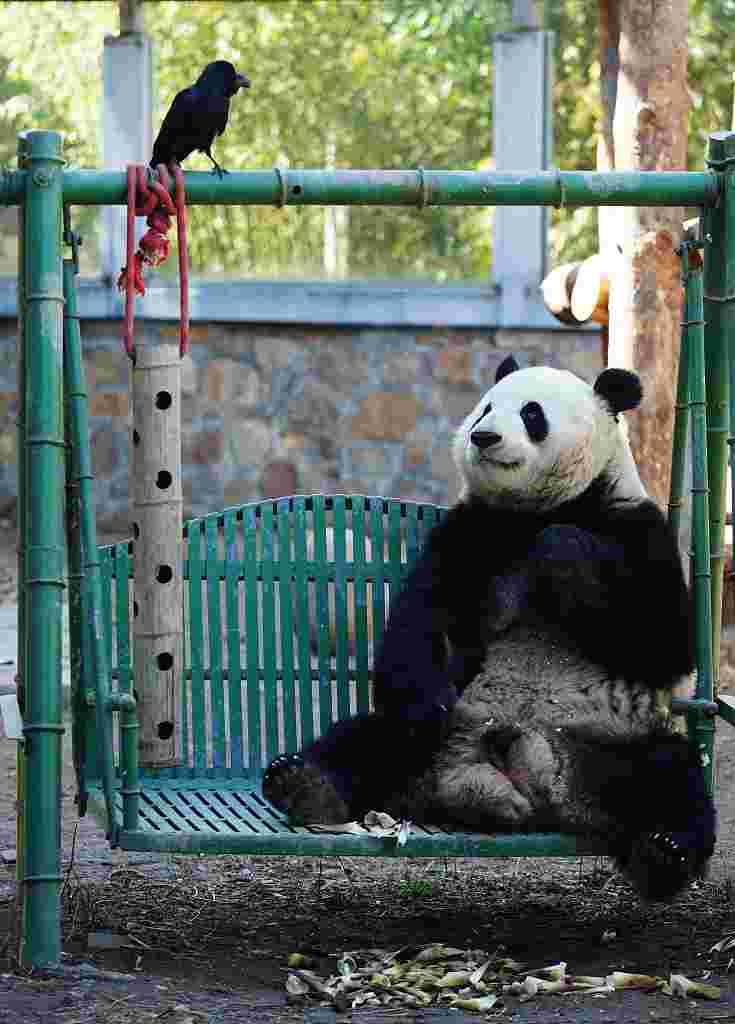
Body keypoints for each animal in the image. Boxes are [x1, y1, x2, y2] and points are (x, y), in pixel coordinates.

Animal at [264, 356, 720, 901]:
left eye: (532, 413)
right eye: (484, 407)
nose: (483, 437)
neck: (538, 509)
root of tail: (527, 786)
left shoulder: (637, 528)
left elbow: (665, 642)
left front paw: (559, 550)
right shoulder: (470, 531)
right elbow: (421, 616)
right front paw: (423, 697)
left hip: (619, 742)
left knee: (672, 782)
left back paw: (664, 854)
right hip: (446, 731)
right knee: (372, 737)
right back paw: (303, 784)